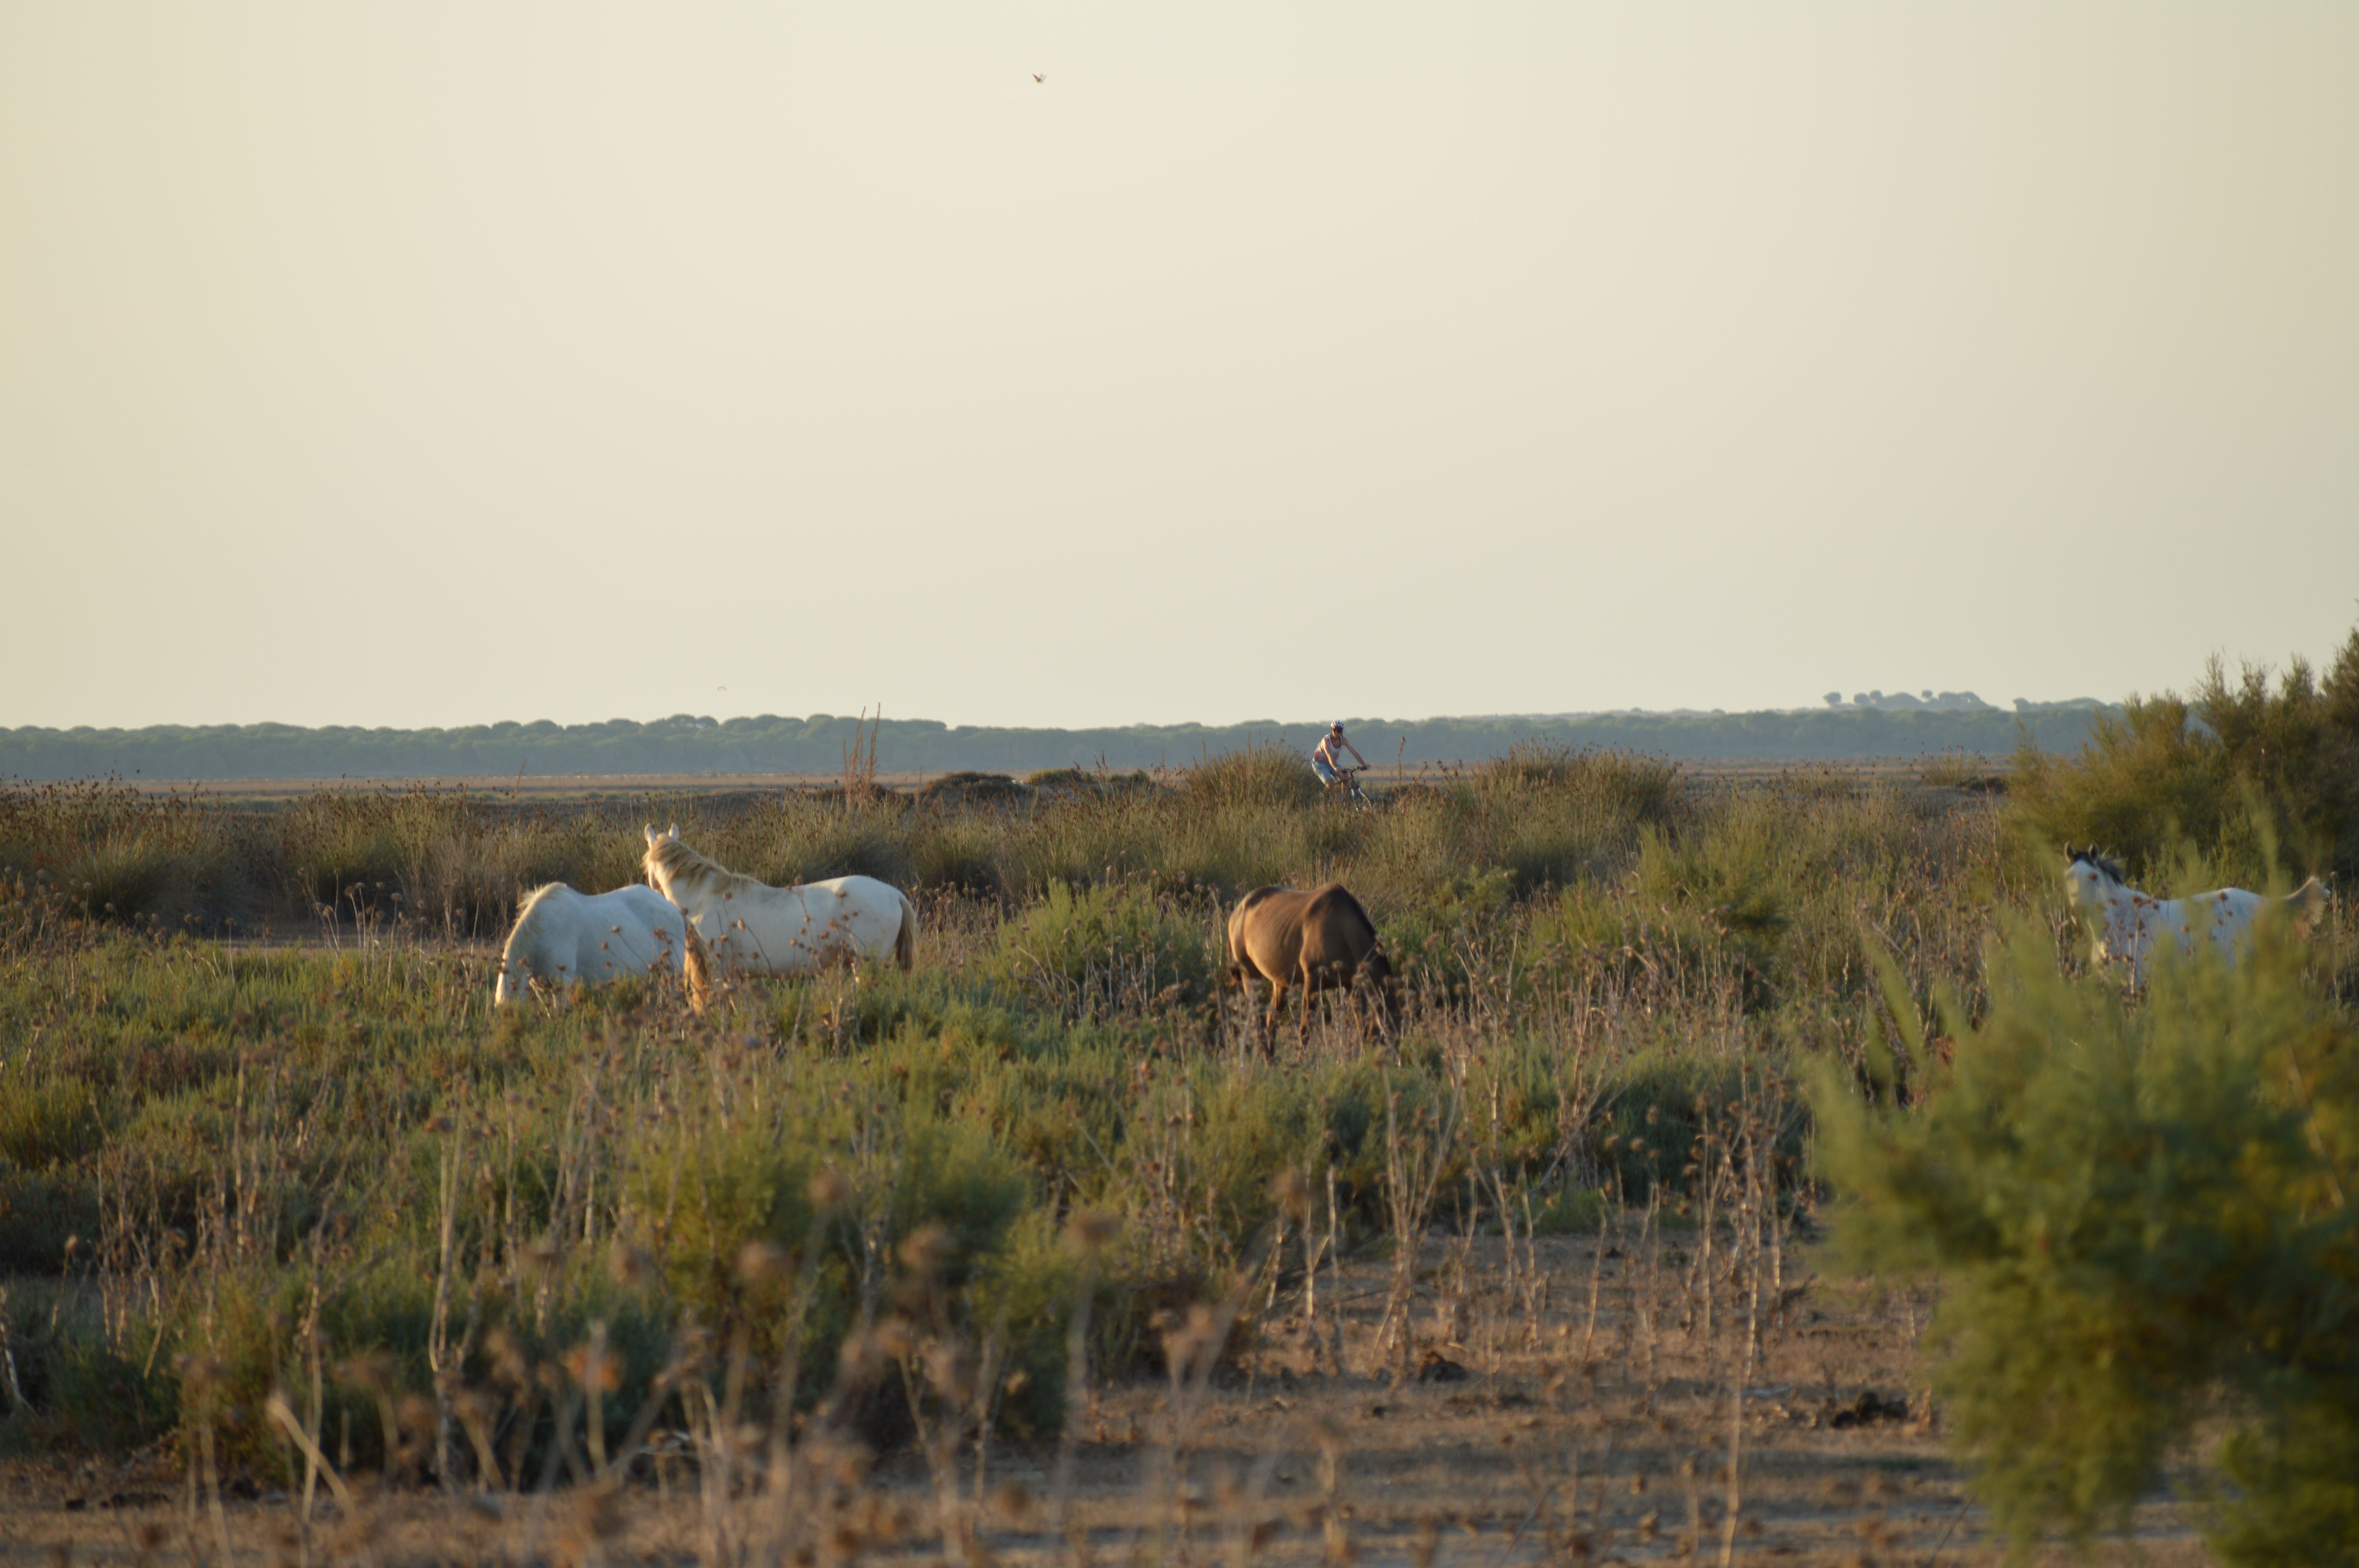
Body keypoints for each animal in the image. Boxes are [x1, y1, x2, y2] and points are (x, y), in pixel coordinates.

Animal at [1227, 886, 1387, 1047]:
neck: (1341, 921)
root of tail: (1239, 911)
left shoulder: (1352, 985)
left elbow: (1362, 1028)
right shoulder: (1312, 985)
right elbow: (1305, 1032)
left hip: (1280, 983)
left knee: (1271, 1018)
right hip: (1251, 976)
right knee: (1257, 1021)